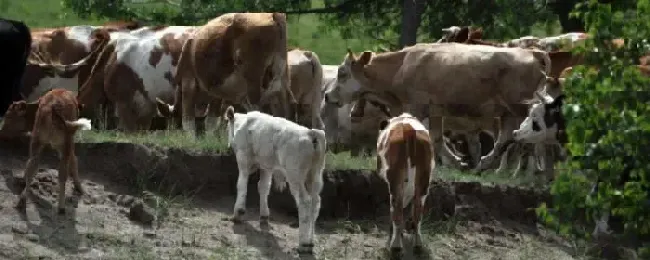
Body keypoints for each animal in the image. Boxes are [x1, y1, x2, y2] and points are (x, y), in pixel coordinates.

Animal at [223, 105, 326, 254]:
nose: (228, 145)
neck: (243, 123)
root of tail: (311, 133)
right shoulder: (266, 165)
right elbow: (264, 186)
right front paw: (264, 216)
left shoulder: (243, 157)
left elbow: (241, 184)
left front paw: (238, 213)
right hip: (316, 175)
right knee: (315, 203)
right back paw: (310, 242)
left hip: (295, 175)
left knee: (305, 202)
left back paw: (303, 244)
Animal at [374, 112, 430, 256]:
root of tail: (409, 129)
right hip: (424, 181)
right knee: (418, 211)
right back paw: (417, 244)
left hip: (395, 181)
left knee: (396, 208)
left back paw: (395, 245)